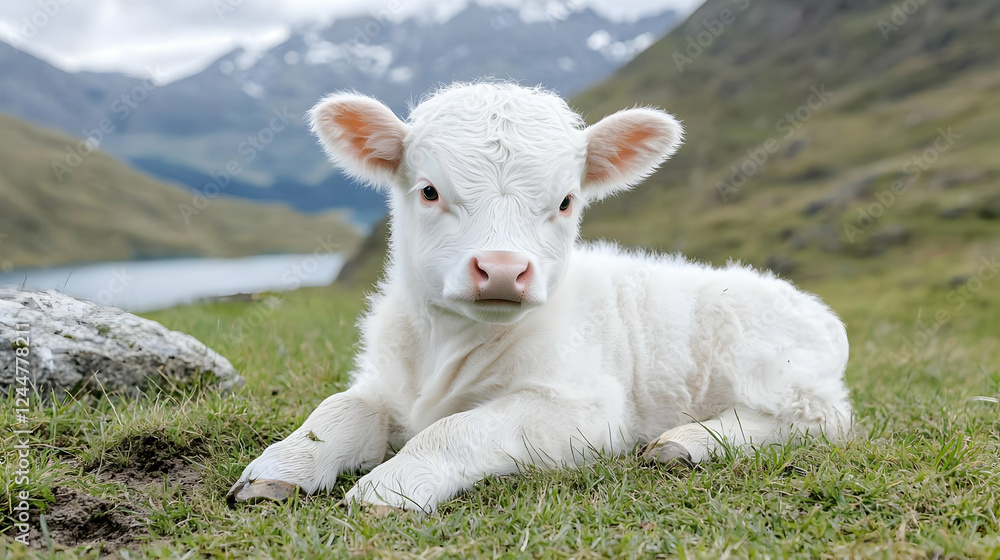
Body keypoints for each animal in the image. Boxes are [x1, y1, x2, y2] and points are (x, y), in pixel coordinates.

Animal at [226, 82, 852, 513]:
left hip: (777, 372)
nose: (503, 270)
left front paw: (393, 487)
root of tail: (817, 310)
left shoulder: (588, 409)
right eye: (428, 190)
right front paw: (280, 468)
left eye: (567, 201)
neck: (448, 347)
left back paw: (687, 441)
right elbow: (337, 408)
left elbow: (464, 427)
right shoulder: (388, 381)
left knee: (816, 421)